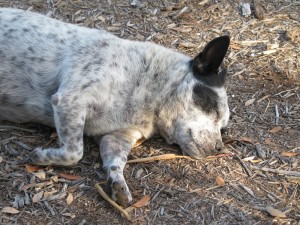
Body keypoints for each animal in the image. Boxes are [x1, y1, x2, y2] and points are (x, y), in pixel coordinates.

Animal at [0, 8, 230, 205]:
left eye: (223, 127)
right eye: (214, 107)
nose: (220, 149)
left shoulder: (116, 136)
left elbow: (116, 161)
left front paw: (117, 182)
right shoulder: (70, 100)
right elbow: (74, 152)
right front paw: (41, 156)